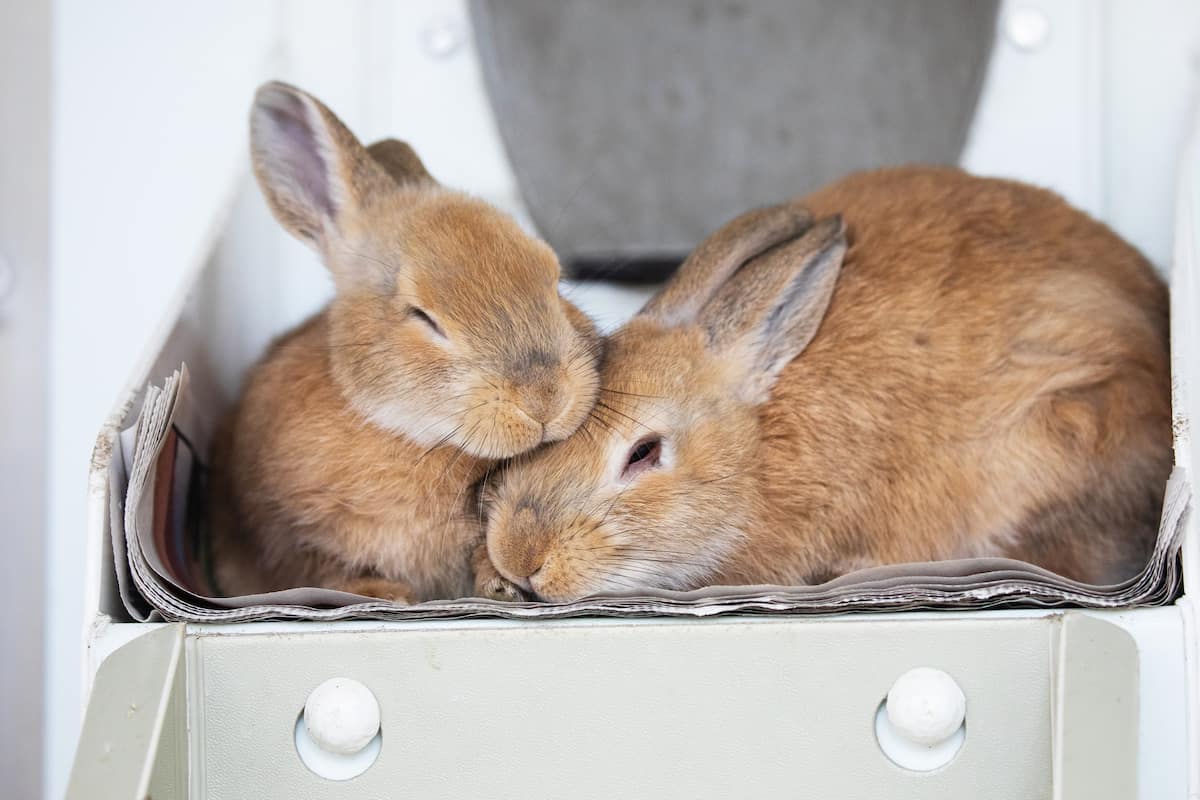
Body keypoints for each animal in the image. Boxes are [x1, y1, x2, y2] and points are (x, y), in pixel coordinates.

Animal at [207, 82, 605, 602]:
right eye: (423, 317)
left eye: (554, 279)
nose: (545, 399)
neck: (409, 435)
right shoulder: (281, 539)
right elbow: (318, 570)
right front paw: (382, 594)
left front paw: (498, 585)